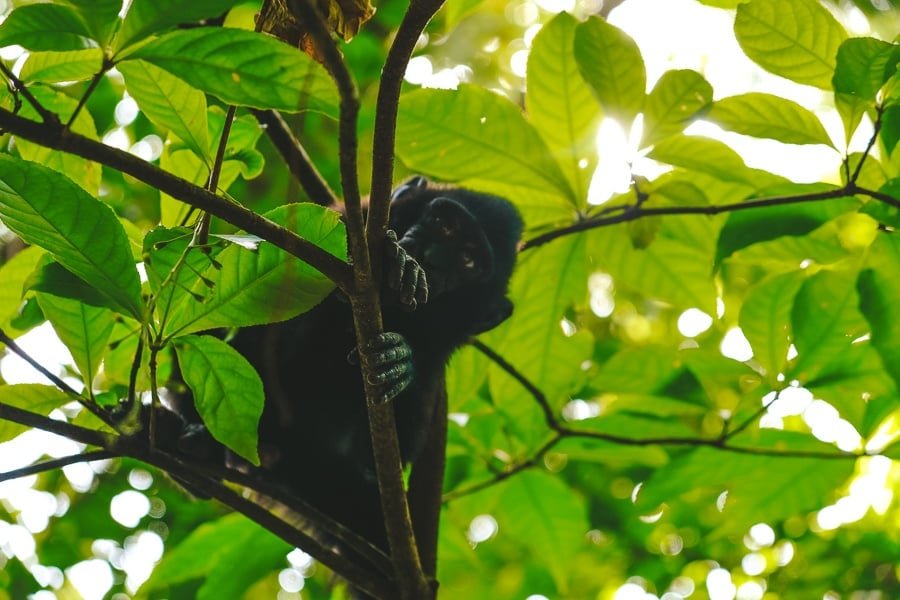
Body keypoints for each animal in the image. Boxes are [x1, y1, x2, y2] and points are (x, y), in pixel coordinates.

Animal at [179, 177, 524, 548]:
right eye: (444, 224)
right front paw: (396, 261)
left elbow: (388, 453)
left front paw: (399, 362)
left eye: (468, 261)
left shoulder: (438, 363)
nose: (433, 259)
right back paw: (201, 445)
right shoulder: (337, 219)